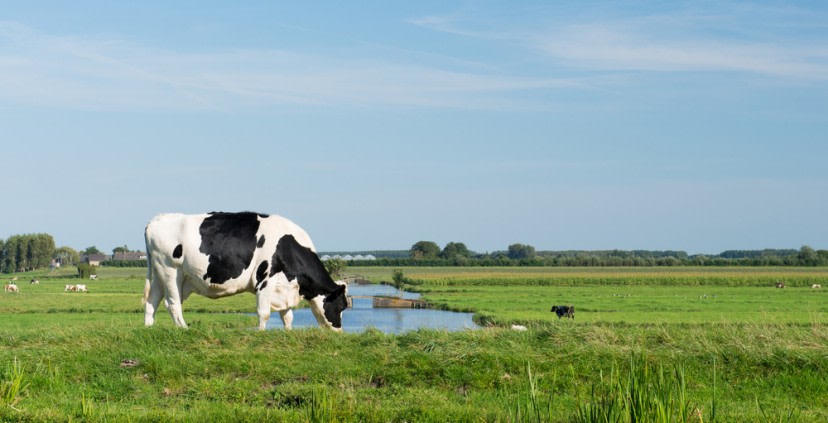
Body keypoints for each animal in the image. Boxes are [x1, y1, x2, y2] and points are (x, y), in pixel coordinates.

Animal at [144, 212, 348, 332]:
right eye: (342, 306)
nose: (339, 331)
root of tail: (157, 219)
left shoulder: (285, 287)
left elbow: (287, 316)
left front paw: (288, 333)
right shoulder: (265, 280)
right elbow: (264, 312)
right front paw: (261, 333)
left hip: (159, 274)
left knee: (152, 300)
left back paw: (148, 328)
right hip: (170, 270)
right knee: (172, 303)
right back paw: (184, 328)